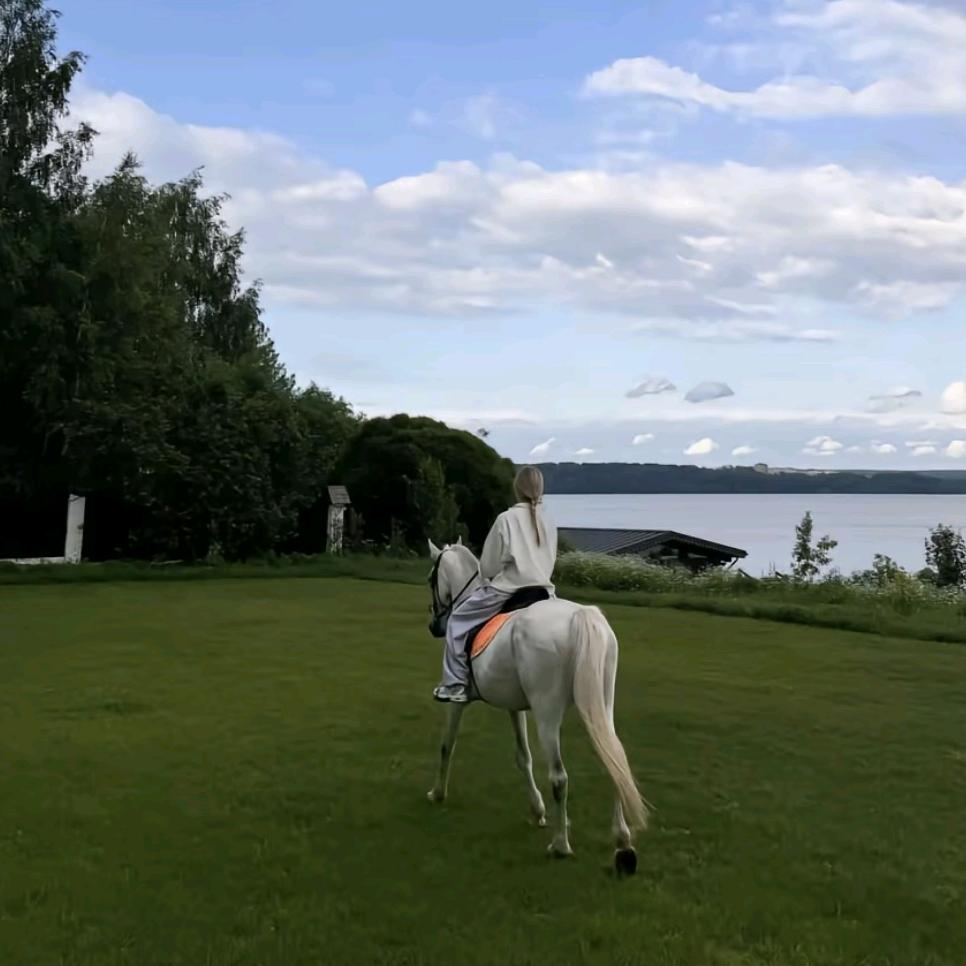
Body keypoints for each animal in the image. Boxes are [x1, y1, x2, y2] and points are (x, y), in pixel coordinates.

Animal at [425, 538, 648, 875]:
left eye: (431, 579)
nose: (435, 626)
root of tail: (580, 616)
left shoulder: (457, 700)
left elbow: (446, 745)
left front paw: (438, 793)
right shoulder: (514, 707)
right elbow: (523, 757)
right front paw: (538, 810)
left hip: (547, 714)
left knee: (559, 777)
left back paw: (560, 845)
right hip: (600, 706)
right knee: (615, 761)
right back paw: (622, 845)